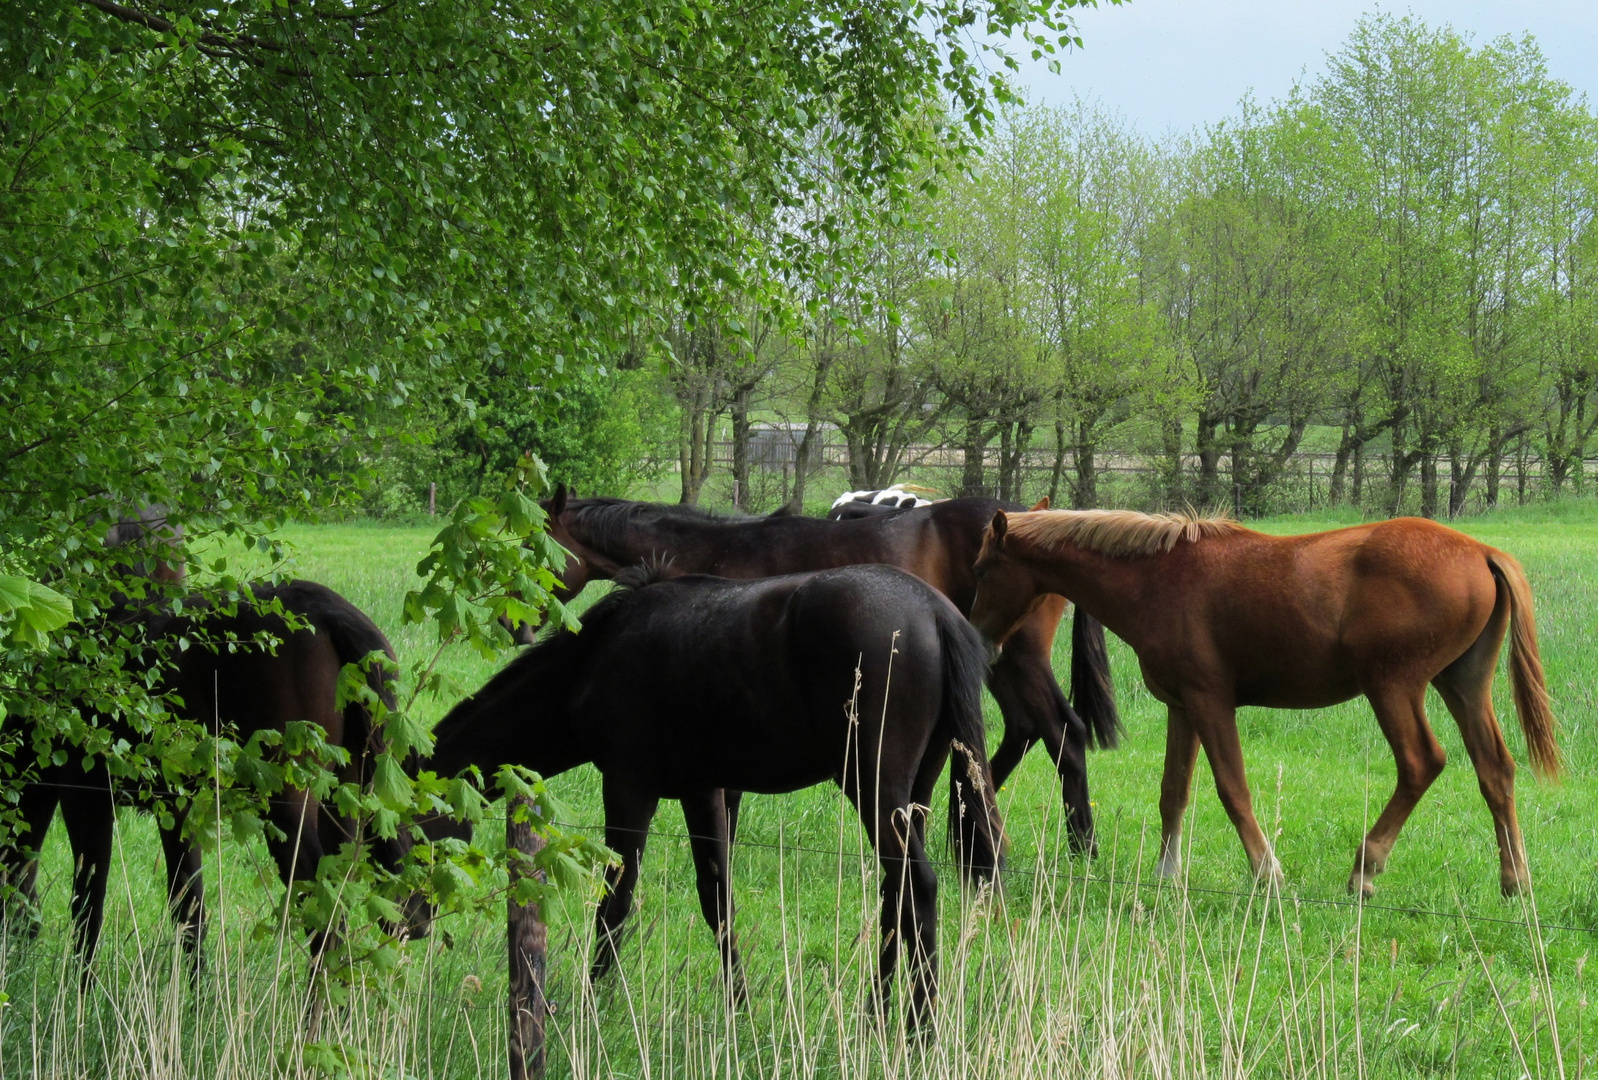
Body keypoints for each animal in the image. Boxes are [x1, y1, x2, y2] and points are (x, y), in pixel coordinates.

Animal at [0, 581, 405, 971]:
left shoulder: (85, 798)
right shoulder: (177, 810)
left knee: (324, 918)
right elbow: (189, 910)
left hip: (288, 809)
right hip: (343, 804)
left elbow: (89, 907)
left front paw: (81, 987)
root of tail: (328, 612)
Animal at [425, 562, 997, 1022]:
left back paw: (919, 1028)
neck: (594, 659)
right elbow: (716, 899)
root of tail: (935, 612)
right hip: (912, 794)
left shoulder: (630, 786)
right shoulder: (705, 791)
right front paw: (738, 1006)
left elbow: (617, 900)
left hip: (874, 787)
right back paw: (875, 1013)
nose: (412, 926)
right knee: (894, 893)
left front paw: (592, 1002)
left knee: (917, 887)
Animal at [543, 485, 1118, 849]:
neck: (717, 553)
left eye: (538, 541)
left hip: (1018, 657)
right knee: (1022, 731)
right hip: (996, 661)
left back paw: (1080, 847)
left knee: (1063, 733)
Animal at [965, 511, 1553, 901]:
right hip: (1463, 684)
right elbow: (1173, 792)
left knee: (1421, 763)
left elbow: (1232, 788)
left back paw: (1365, 868)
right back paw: (1515, 881)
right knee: (1495, 770)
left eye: (981, 570)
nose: (980, 642)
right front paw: (1165, 875)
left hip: (1394, 686)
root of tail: (1480, 552)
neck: (1158, 578)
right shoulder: (1182, 707)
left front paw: (1267, 872)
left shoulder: (1210, 702)